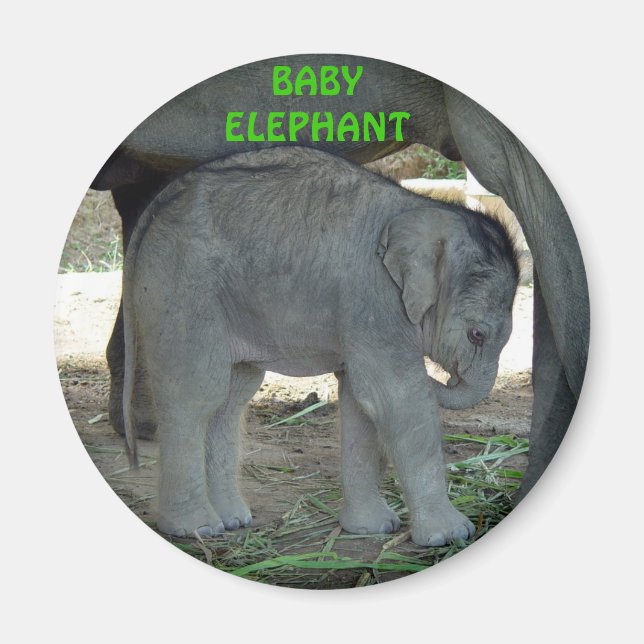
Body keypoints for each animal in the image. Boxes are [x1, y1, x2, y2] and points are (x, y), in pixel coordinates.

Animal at [122, 147, 520, 546]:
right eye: (477, 335)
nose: (446, 378)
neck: (423, 207)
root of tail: (158, 207)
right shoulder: (373, 300)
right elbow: (395, 397)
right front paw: (451, 535)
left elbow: (360, 401)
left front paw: (372, 529)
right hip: (181, 287)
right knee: (196, 393)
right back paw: (197, 528)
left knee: (231, 397)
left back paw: (233, 520)